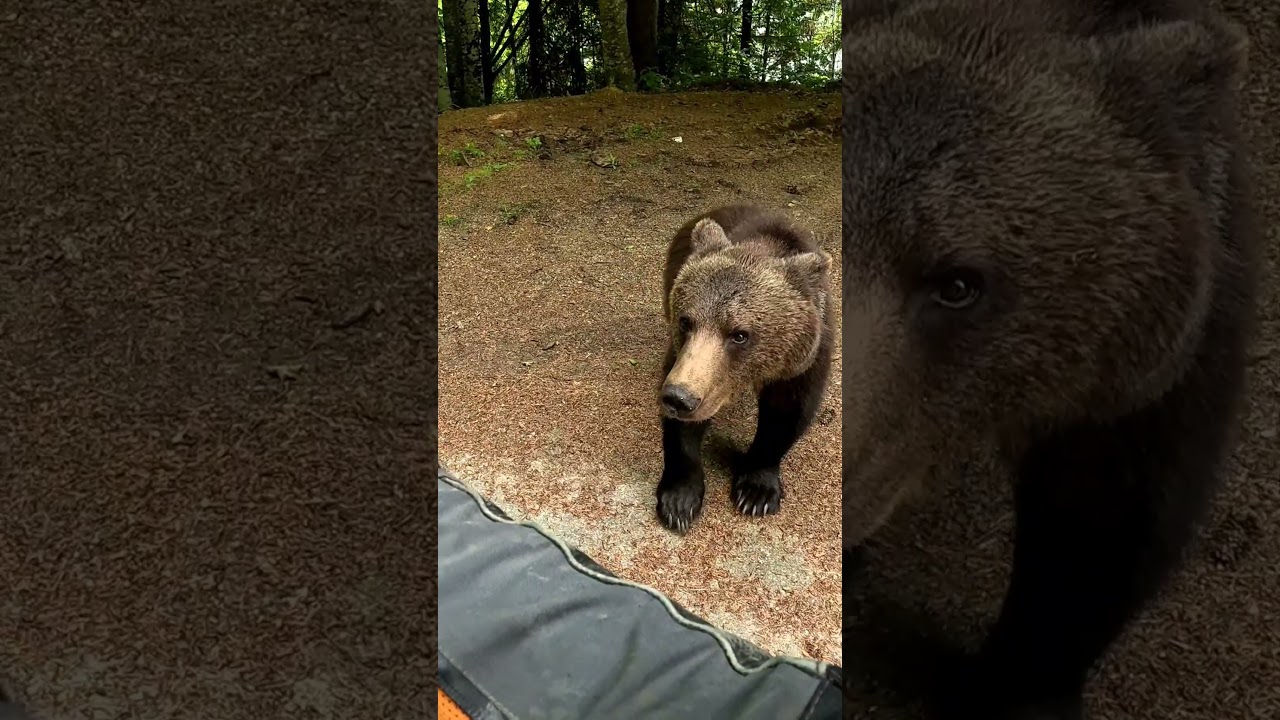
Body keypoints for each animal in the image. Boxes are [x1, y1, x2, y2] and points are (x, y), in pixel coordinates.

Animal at [655, 204, 835, 534]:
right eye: (686, 321)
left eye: (739, 334)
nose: (679, 397)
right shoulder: (684, 357)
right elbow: (683, 429)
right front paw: (679, 501)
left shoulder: (804, 364)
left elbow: (785, 416)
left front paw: (756, 493)